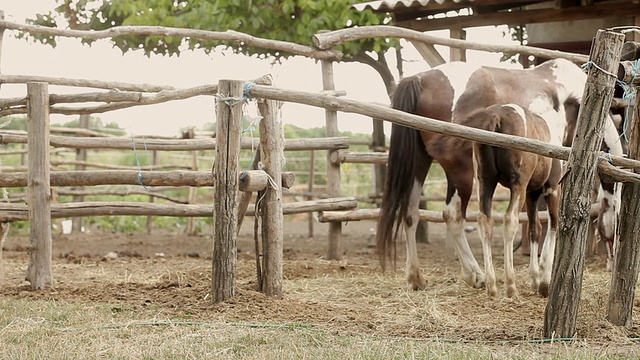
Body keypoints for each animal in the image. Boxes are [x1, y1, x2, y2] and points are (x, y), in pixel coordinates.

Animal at [462, 104, 564, 298]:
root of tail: (497, 117)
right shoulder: (552, 188)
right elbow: (554, 225)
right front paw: (544, 282)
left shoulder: (532, 194)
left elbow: (534, 229)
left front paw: (535, 279)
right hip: (518, 185)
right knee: (510, 220)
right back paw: (510, 286)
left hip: (485, 182)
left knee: (485, 220)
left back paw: (492, 286)